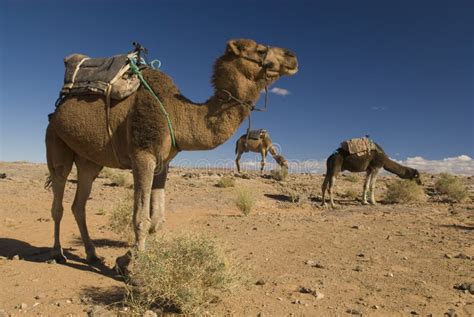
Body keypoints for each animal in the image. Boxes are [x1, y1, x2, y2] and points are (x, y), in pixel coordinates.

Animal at [44, 37, 296, 270]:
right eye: (260, 50)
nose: (292, 57)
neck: (178, 114)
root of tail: (56, 111)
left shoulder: (162, 164)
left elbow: (156, 219)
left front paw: (126, 257)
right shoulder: (143, 156)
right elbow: (140, 218)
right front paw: (131, 266)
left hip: (90, 161)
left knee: (79, 205)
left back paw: (92, 254)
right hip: (56, 142)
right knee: (58, 199)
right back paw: (57, 253)